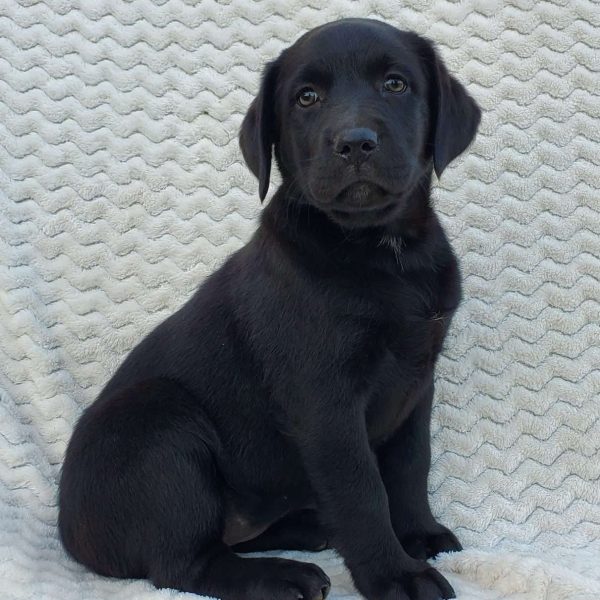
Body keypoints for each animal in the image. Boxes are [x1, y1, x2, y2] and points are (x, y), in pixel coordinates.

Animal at [57, 17, 478, 600]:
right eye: (307, 97)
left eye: (396, 84)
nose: (355, 142)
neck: (383, 248)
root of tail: (68, 532)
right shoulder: (326, 403)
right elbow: (362, 491)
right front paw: (396, 575)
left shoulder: (417, 379)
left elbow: (411, 464)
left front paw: (418, 534)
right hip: (159, 421)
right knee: (181, 564)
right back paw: (282, 574)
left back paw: (310, 528)